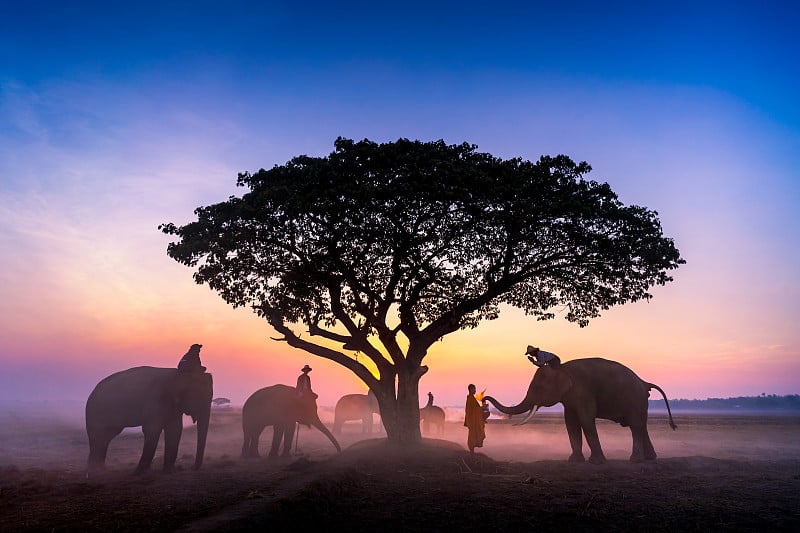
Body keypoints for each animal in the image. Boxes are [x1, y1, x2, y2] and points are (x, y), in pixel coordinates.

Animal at [484, 356, 680, 464]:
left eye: (539, 388)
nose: (484, 398)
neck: (561, 368)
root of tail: (644, 382)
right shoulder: (570, 398)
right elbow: (570, 423)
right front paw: (574, 461)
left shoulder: (583, 392)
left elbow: (586, 420)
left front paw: (597, 463)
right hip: (640, 402)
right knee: (641, 426)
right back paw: (650, 459)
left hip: (634, 399)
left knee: (635, 426)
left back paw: (635, 460)